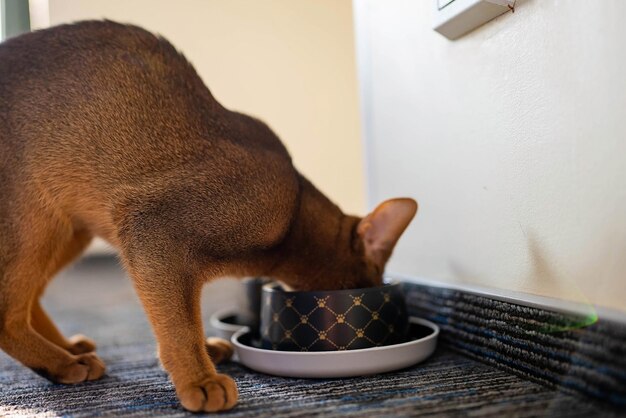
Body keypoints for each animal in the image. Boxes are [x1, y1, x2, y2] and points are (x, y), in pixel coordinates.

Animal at [1, 21, 420, 414]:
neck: (295, 209)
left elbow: (182, 314)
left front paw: (202, 354)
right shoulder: (153, 232)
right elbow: (179, 324)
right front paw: (199, 381)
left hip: (70, 229)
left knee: (29, 298)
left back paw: (68, 348)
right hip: (33, 221)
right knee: (7, 310)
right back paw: (61, 364)